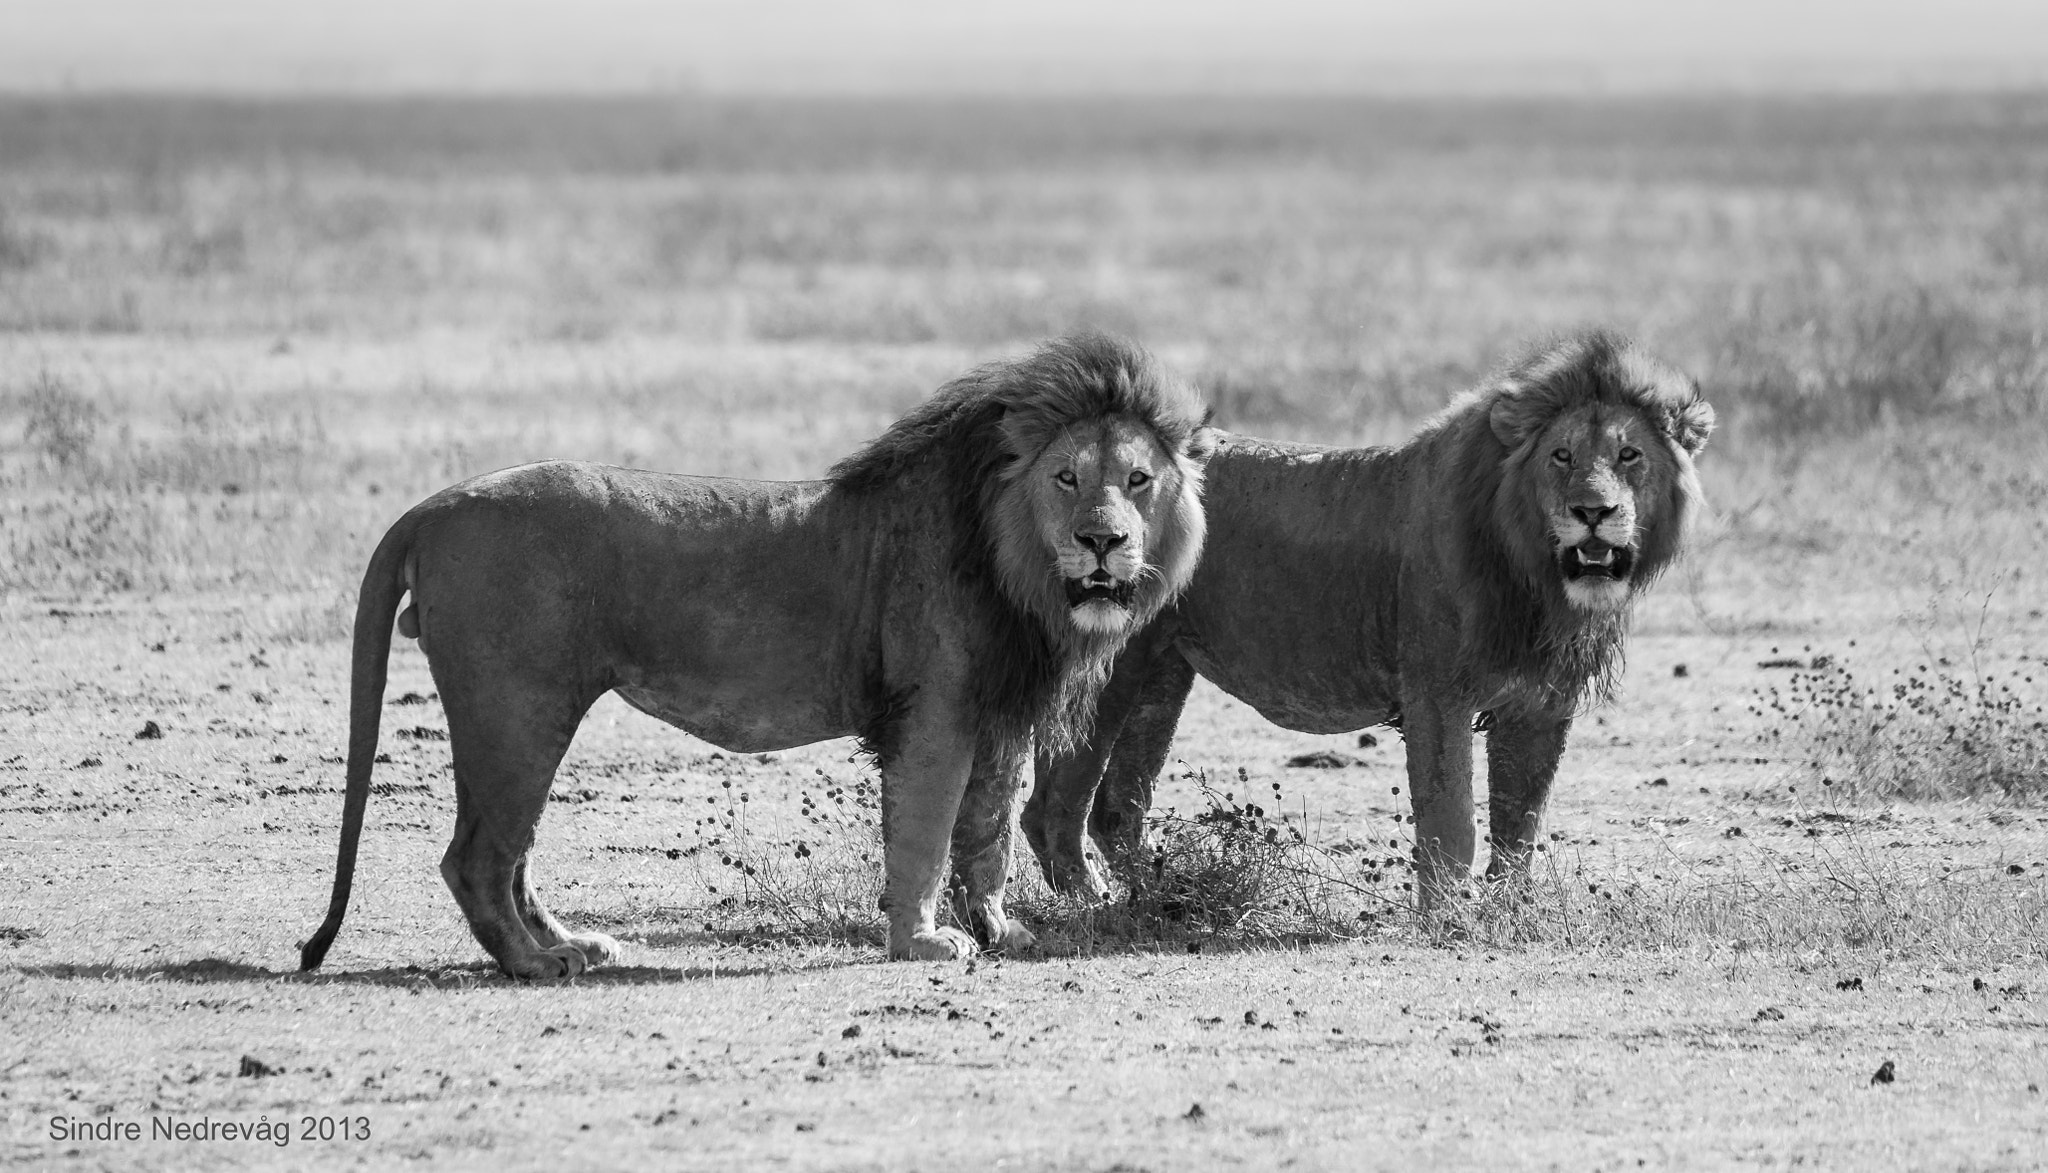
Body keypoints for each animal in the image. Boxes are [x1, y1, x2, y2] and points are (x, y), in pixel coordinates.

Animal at [296, 333, 1204, 974]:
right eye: (1066, 477)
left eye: (1137, 479)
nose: (1101, 541)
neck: (1016, 565)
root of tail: (435, 505)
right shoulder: (936, 709)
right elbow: (925, 829)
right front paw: (922, 942)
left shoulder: (998, 714)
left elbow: (987, 832)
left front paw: (1002, 930)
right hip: (516, 708)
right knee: (477, 859)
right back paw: (535, 962)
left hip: (520, 716)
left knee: (507, 853)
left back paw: (575, 945)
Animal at [1024, 329, 1712, 904]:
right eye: (1562, 456)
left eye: (1629, 455)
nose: (1592, 511)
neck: (1537, 576)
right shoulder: (1437, 691)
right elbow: (1451, 820)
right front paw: (1447, 921)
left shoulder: (1541, 704)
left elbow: (1521, 824)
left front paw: (1511, 913)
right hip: (1108, 674)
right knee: (1054, 808)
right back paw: (1093, 908)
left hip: (1163, 671)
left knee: (1117, 808)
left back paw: (1167, 900)